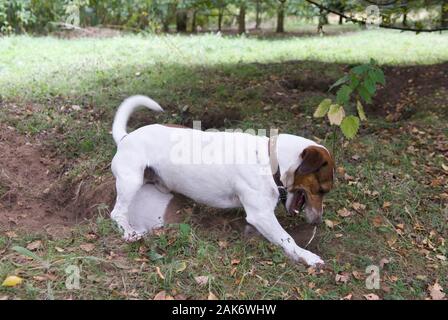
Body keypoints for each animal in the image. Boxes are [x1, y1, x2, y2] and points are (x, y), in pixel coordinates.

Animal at [109, 95, 332, 268]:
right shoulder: (261, 215)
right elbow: (287, 239)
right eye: (322, 190)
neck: (269, 160)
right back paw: (129, 232)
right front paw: (307, 256)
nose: (318, 221)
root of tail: (126, 137)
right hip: (131, 181)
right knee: (117, 212)